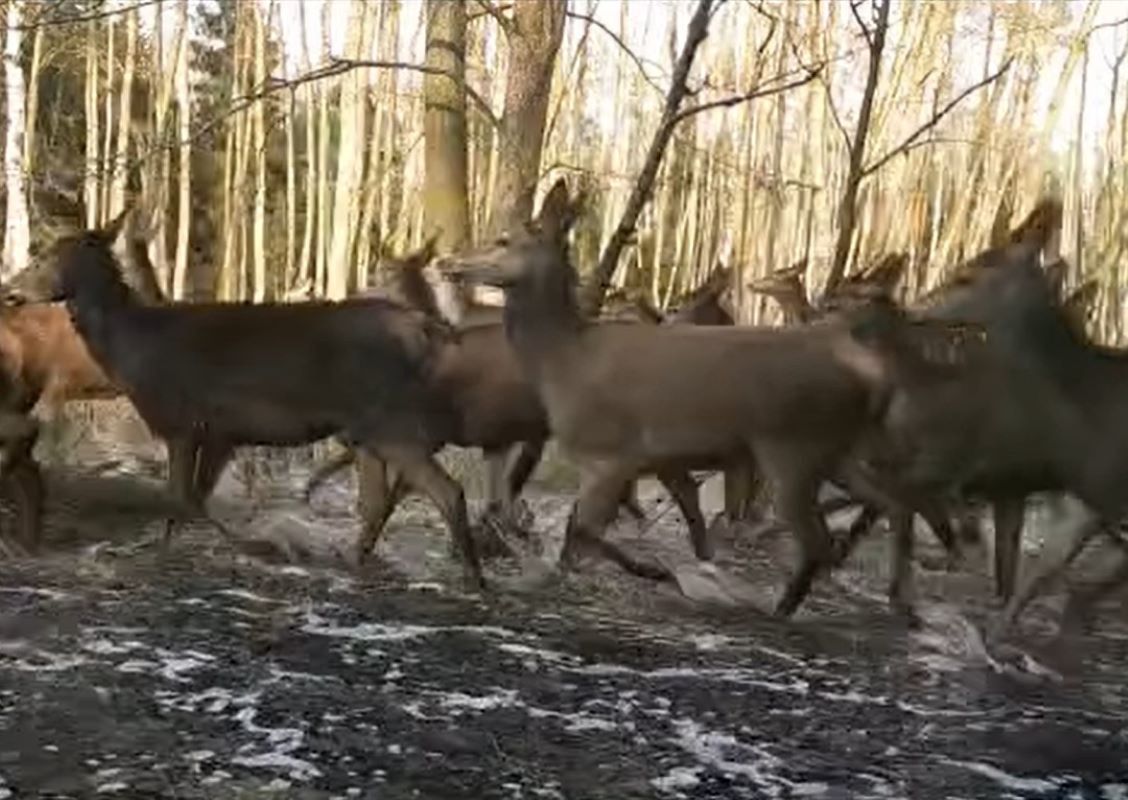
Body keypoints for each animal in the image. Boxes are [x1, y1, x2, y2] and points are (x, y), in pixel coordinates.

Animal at [13, 211, 487, 586]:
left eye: (44, 257)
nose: (12, 289)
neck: (133, 351)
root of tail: (430, 331)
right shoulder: (221, 433)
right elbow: (192, 498)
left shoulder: (180, 420)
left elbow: (180, 498)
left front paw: (239, 547)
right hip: (367, 430)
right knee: (375, 502)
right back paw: (354, 563)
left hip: (391, 421)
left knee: (447, 491)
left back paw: (473, 579)